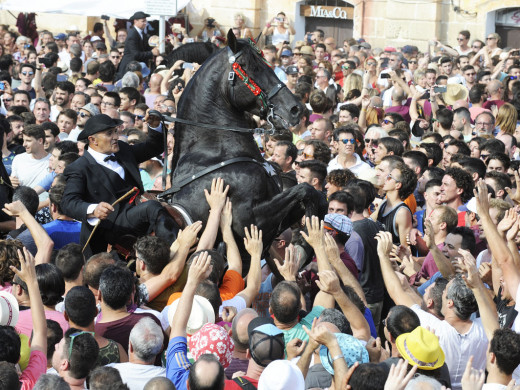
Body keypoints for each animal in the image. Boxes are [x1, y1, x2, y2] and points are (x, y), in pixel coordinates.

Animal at [160, 30, 322, 272]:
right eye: (249, 66)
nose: (296, 108)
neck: (216, 154)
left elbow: (312, 195)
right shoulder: (251, 222)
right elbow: (305, 190)